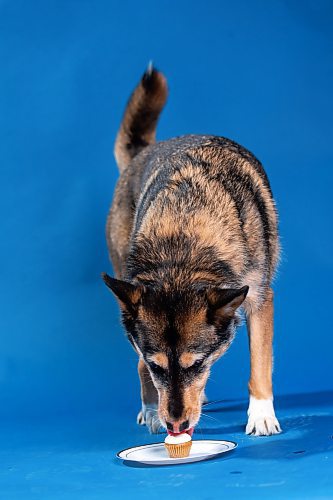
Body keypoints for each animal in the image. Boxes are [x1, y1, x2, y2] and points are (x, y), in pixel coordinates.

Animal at [101, 67, 280, 438]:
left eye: (196, 363)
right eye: (157, 366)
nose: (177, 426)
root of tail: (143, 153)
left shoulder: (259, 297)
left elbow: (259, 361)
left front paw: (261, 415)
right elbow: (142, 366)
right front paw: (155, 411)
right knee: (135, 365)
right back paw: (150, 411)